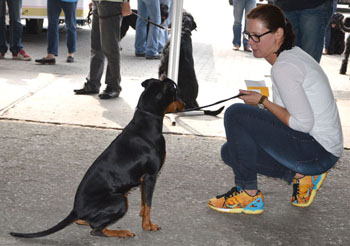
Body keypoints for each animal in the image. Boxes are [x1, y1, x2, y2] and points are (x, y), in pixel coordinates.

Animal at [9, 78, 185, 238]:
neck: (147, 122)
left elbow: (144, 202)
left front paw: (142, 216)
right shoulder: (150, 176)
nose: (184, 104)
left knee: (84, 222)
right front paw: (148, 225)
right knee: (96, 229)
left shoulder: (145, 179)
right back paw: (121, 232)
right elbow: (148, 204)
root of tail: (76, 210)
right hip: (120, 200)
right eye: (175, 92)